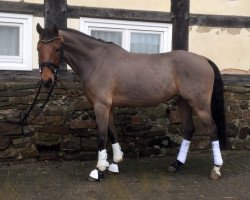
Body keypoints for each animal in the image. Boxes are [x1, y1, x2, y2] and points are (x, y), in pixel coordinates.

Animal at [36, 23, 226, 181]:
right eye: (38, 48)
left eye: (57, 48)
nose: (46, 80)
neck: (97, 61)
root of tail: (203, 59)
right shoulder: (108, 106)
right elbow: (112, 132)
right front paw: (114, 163)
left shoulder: (101, 105)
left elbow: (102, 136)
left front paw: (98, 170)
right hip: (183, 102)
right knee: (188, 129)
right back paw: (176, 164)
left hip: (199, 105)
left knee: (212, 129)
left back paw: (216, 169)